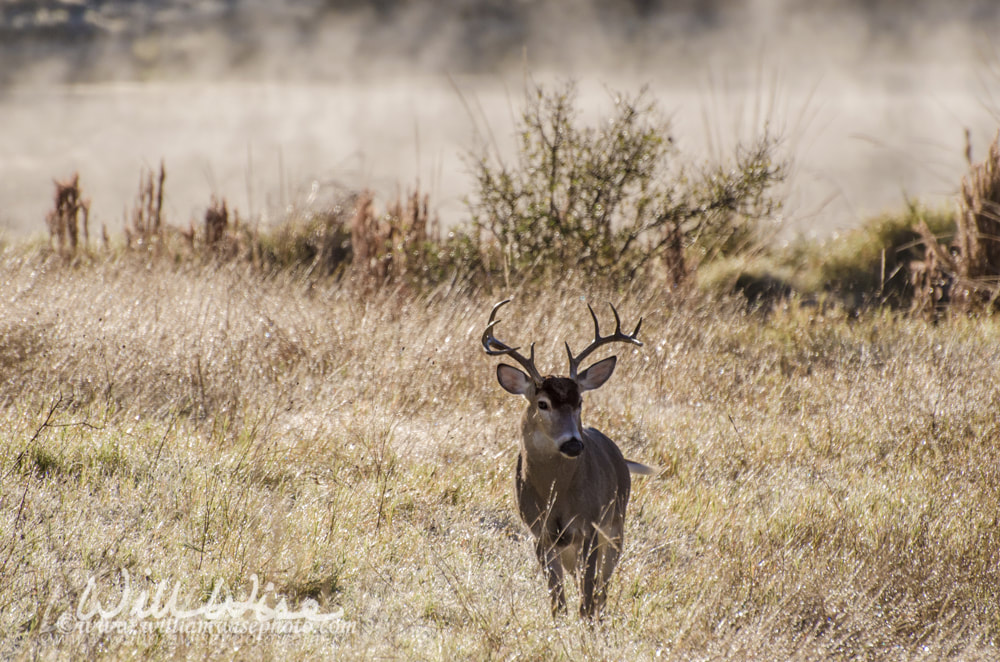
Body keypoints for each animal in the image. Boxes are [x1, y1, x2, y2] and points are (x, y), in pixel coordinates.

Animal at [480, 298, 652, 620]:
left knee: (602, 588)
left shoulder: (590, 525)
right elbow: (557, 601)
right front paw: (559, 623)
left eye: (580, 401)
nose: (573, 443)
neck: (558, 494)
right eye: (542, 403)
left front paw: (587, 624)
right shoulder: (538, 531)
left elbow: (588, 593)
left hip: (616, 524)